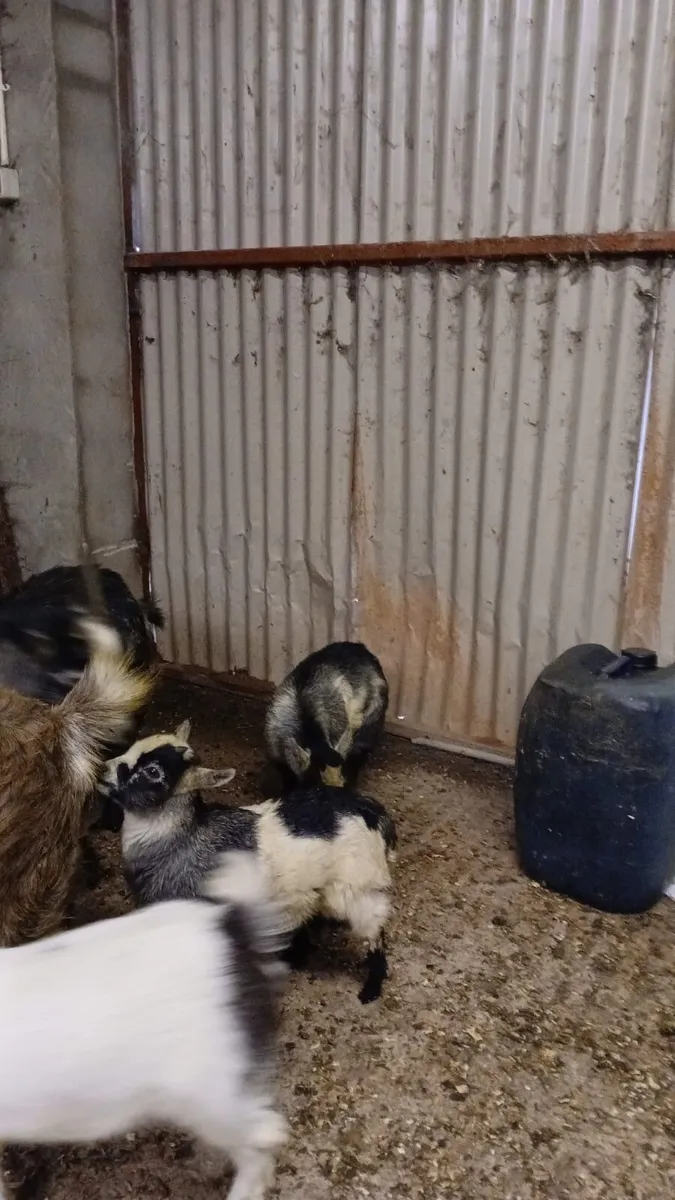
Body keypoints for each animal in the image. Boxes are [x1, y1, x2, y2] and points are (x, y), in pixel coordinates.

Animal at [102, 723, 397, 1003]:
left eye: (153, 772)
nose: (103, 771)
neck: (184, 838)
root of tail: (374, 813)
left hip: (355, 887)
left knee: (375, 926)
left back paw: (371, 987)